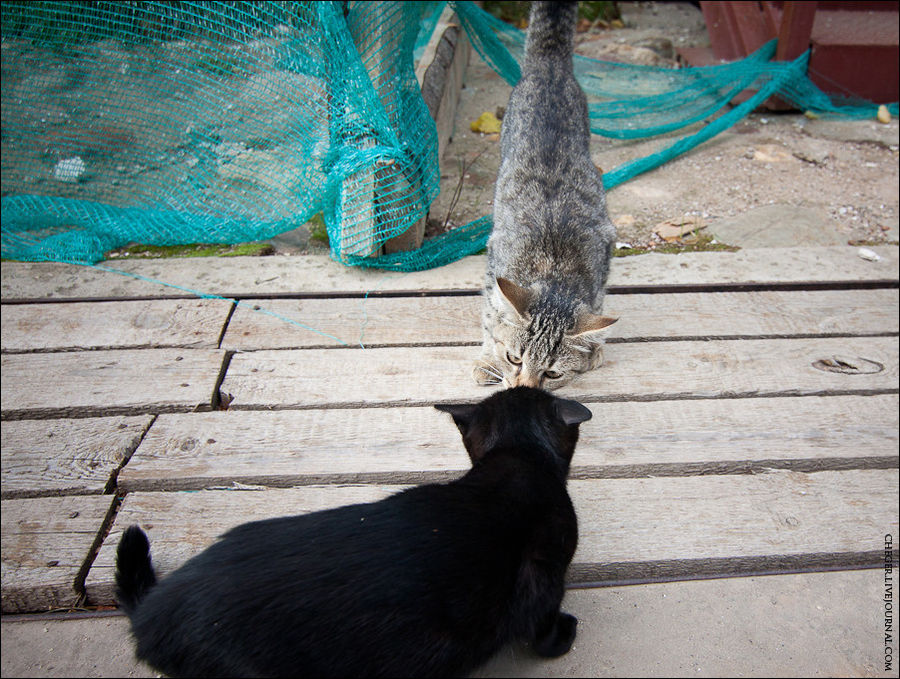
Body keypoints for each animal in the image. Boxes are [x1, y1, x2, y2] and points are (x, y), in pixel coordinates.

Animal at [472, 0, 620, 390]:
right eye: (514, 358)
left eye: (552, 372)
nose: (523, 390)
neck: (555, 271)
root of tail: (550, 66)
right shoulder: (494, 261)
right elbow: (490, 315)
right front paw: (487, 357)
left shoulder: (603, 258)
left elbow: (597, 309)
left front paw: (592, 348)